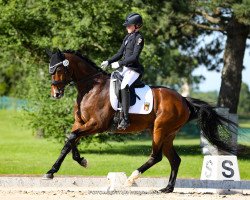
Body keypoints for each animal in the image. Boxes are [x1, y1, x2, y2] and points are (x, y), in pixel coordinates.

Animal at [44, 49, 237, 193]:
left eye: (59, 70)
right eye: (50, 69)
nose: (55, 94)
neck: (91, 87)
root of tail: (183, 100)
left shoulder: (96, 125)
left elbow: (71, 138)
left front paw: (53, 170)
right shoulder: (80, 123)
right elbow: (70, 140)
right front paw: (75, 162)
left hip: (159, 130)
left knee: (156, 156)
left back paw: (131, 178)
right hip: (167, 134)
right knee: (175, 159)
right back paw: (167, 188)